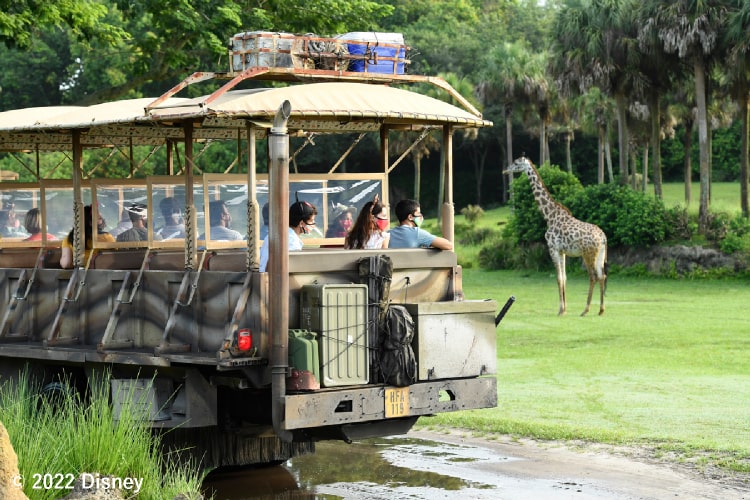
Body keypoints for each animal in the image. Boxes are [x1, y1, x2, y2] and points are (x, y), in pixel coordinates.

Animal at [508, 156, 608, 316]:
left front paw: (561, 310)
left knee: (593, 276)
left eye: (516, 163)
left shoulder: (553, 248)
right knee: (602, 276)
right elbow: (564, 278)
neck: (549, 216)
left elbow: (558, 278)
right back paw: (601, 310)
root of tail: (603, 237)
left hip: (588, 254)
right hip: (600, 254)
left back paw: (585, 310)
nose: (506, 169)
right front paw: (564, 309)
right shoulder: (562, 251)